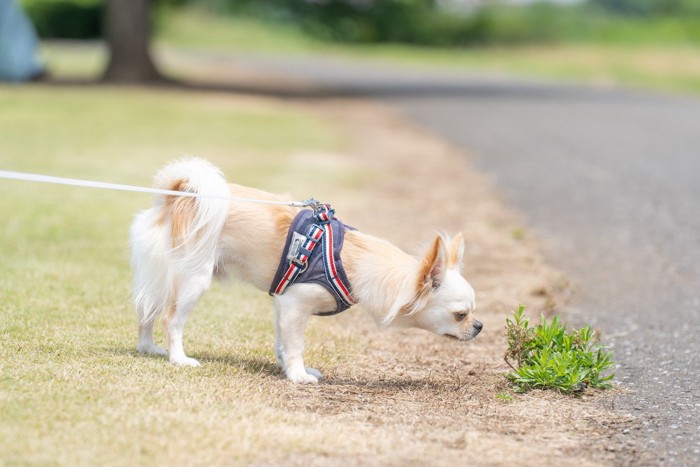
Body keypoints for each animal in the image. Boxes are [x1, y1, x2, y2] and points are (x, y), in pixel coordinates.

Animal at [130, 158, 482, 384]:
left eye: (473, 314)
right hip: (194, 279)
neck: (352, 259)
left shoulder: (283, 304)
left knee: (146, 310)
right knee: (170, 319)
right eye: (461, 315)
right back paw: (179, 358)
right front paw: (298, 375)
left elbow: (283, 343)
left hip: (163, 276)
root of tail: (177, 198)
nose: (479, 326)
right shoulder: (295, 305)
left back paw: (149, 348)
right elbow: (296, 344)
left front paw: (289, 369)